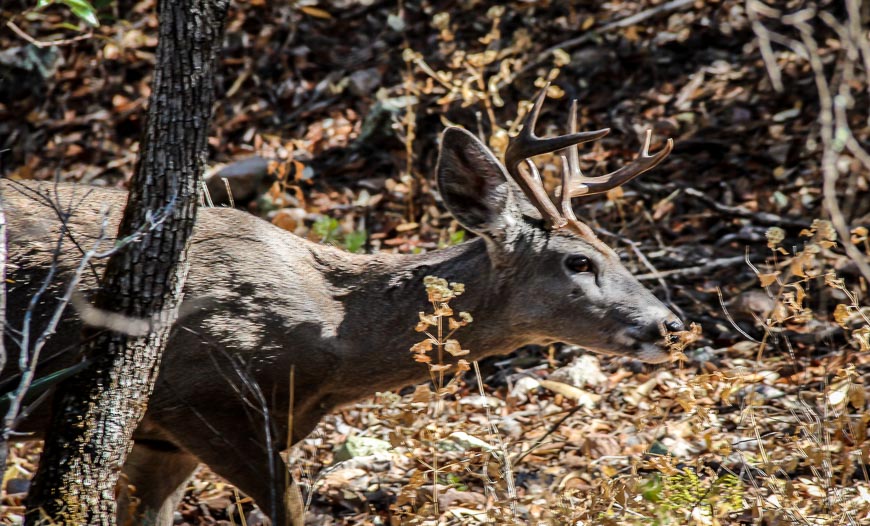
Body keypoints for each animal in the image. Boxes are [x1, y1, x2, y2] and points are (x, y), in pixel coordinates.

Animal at [1, 92, 680, 526]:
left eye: (613, 249)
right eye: (578, 261)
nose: (670, 324)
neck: (332, 341)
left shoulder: (160, 436)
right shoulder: (198, 398)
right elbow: (294, 511)